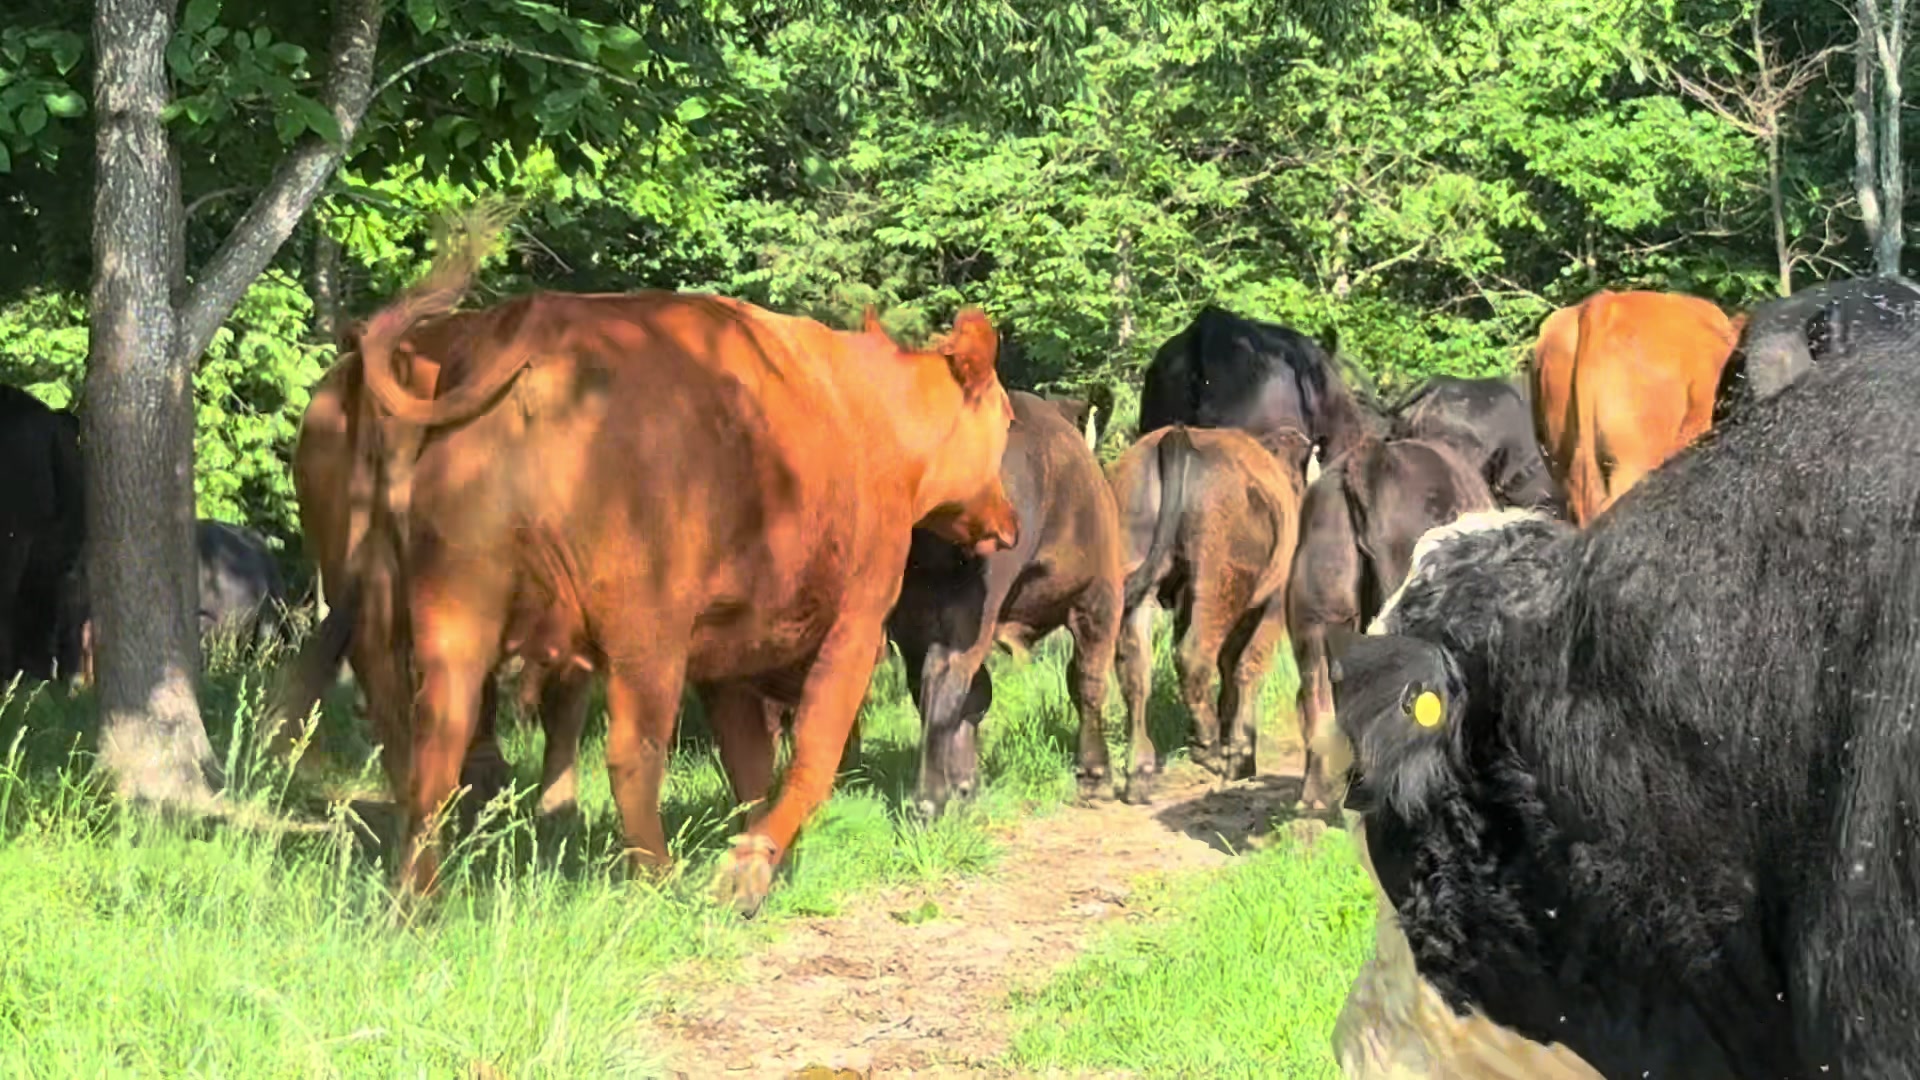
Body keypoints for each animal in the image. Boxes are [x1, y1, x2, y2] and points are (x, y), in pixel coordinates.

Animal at [271, 206, 1018, 916]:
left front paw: (750, 850)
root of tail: (530, 334)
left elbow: (749, 763)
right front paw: (749, 870)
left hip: (457, 612)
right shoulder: (856, 626)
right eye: (1008, 420)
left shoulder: (731, 657)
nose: (1009, 523)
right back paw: (655, 879)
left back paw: (417, 898)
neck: (873, 415)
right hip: (645, 634)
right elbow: (813, 757)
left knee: (433, 738)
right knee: (630, 752)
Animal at [887, 390, 1123, 817]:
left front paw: (966, 784)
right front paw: (1096, 776)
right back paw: (929, 800)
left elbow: (979, 696)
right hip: (972, 613)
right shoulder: (1099, 597)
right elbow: (1089, 681)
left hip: (912, 618)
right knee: (945, 677)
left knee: (931, 684)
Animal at [1106, 424, 1305, 802]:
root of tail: (1177, 435)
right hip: (1220, 581)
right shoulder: (1273, 603)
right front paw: (1240, 755)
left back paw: (1140, 773)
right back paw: (1209, 748)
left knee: (1136, 672)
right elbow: (1247, 667)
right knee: (1194, 656)